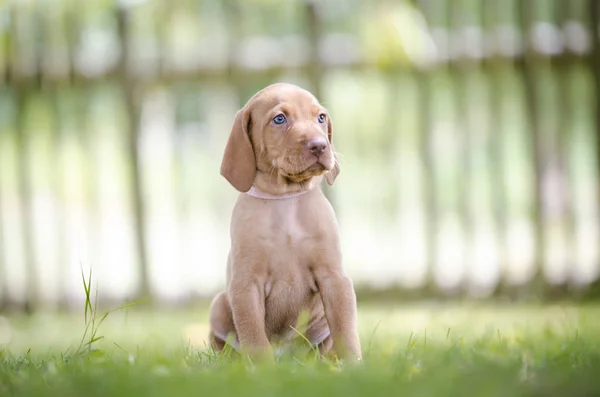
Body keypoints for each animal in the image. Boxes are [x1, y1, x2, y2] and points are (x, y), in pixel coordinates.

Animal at [209, 82, 360, 360]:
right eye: (279, 119)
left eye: (321, 117)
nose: (320, 145)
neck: (285, 200)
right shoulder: (246, 284)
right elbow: (253, 333)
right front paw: (262, 367)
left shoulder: (334, 277)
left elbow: (346, 329)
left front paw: (354, 363)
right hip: (219, 304)